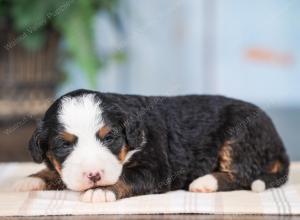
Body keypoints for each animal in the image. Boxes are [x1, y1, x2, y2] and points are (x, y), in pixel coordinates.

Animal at [14, 88, 288, 202]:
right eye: (64, 145)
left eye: (109, 138)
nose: (94, 175)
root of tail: (277, 139)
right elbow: (53, 171)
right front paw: (31, 179)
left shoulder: (156, 169)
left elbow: (126, 177)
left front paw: (101, 190)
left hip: (240, 137)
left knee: (243, 173)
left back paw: (205, 182)